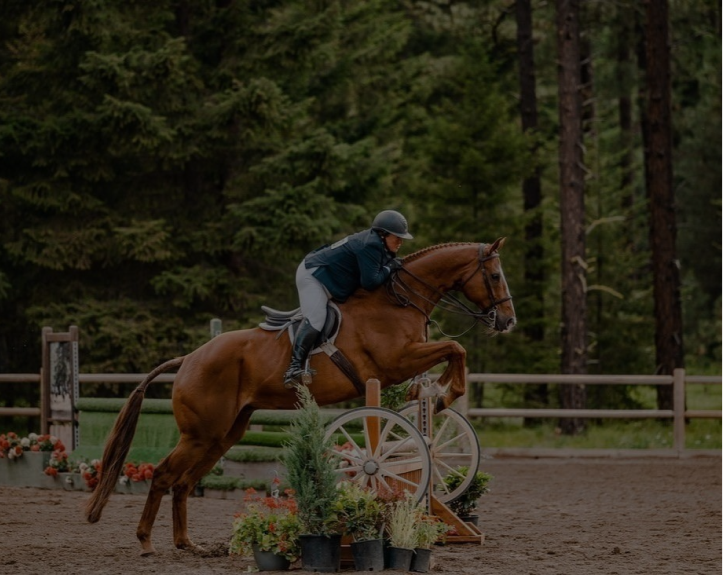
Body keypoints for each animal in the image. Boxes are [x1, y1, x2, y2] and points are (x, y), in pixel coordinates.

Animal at [84, 239, 516, 555]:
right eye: (495, 275)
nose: (507, 321)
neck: (397, 300)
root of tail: (190, 358)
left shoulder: (403, 361)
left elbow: (449, 357)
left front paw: (433, 397)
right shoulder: (395, 361)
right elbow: (454, 350)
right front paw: (444, 392)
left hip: (222, 435)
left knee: (183, 483)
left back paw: (187, 544)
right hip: (200, 434)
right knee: (163, 475)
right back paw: (146, 542)